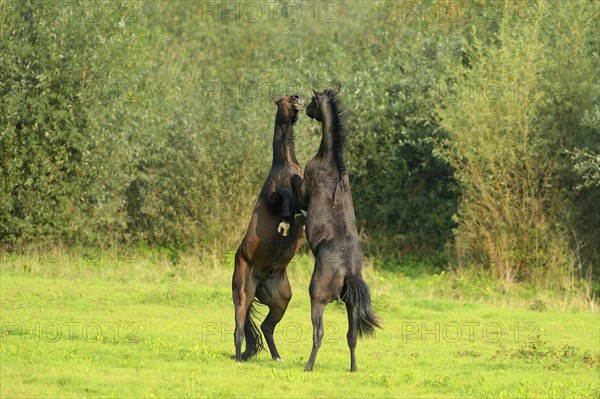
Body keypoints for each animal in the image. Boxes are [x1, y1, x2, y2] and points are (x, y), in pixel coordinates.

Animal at [231, 94, 304, 362]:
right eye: (284, 98)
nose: (298, 98)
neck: (286, 164)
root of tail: (261, 279)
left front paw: (297, 218)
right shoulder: (272, 199)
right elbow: (284, 193)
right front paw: (286, 221)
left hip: (281, 300)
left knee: (266, 327)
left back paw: (277, 357)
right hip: (243, 294)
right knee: (239, 330)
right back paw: (239, 359)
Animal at [290, 83, 380, 374]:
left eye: (313, 101)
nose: (307, 110)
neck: (331, 163)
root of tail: (348, 272)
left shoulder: (305, 192)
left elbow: (295, 183)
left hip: (317, 299)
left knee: (318, 333)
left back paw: (308, 366)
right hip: (350, 305)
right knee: (352, 336)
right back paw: (353, 369)